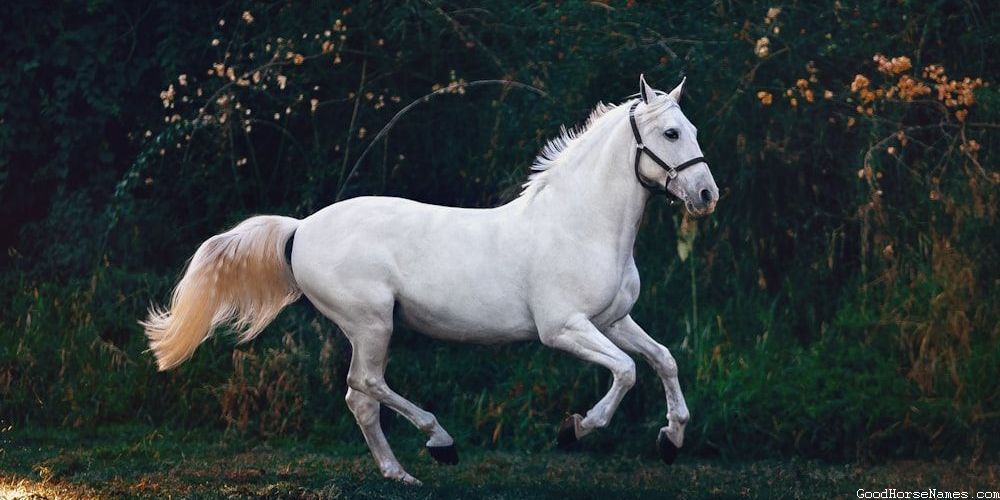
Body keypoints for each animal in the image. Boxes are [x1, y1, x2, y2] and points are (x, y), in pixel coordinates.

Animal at [142, 75, 719, 485]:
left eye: (693, 131)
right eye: (671, 133)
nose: (707, 195)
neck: (580, 224)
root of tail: (300, 228)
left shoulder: (613, 320)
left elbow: (663, 359)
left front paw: (671, 440)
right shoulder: (564, 329)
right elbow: (626, 371)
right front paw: (575, 429)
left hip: (370, 328)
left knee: (360, 398)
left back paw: (400, 473)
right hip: (372, 323)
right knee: (366, 385)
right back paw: (439, 442)